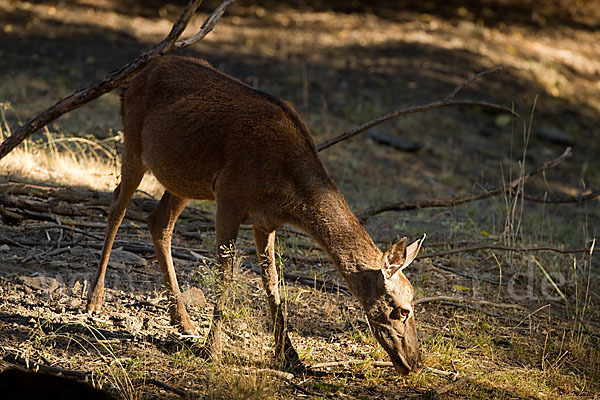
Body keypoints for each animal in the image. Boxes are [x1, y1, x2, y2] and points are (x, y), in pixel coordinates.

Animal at [85, 54, 426, 374]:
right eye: (402, 309)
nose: (415, 361)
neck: (286, 193)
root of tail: (134, 78)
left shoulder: (266, 222)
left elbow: (273, 282)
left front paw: (291, 356)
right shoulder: (229, 198)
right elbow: (226, 274)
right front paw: (213, 351)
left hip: (184, 177)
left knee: (158, 222)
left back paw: (183, 321)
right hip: (133, 143)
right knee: (117, 205)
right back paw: (94, 300)